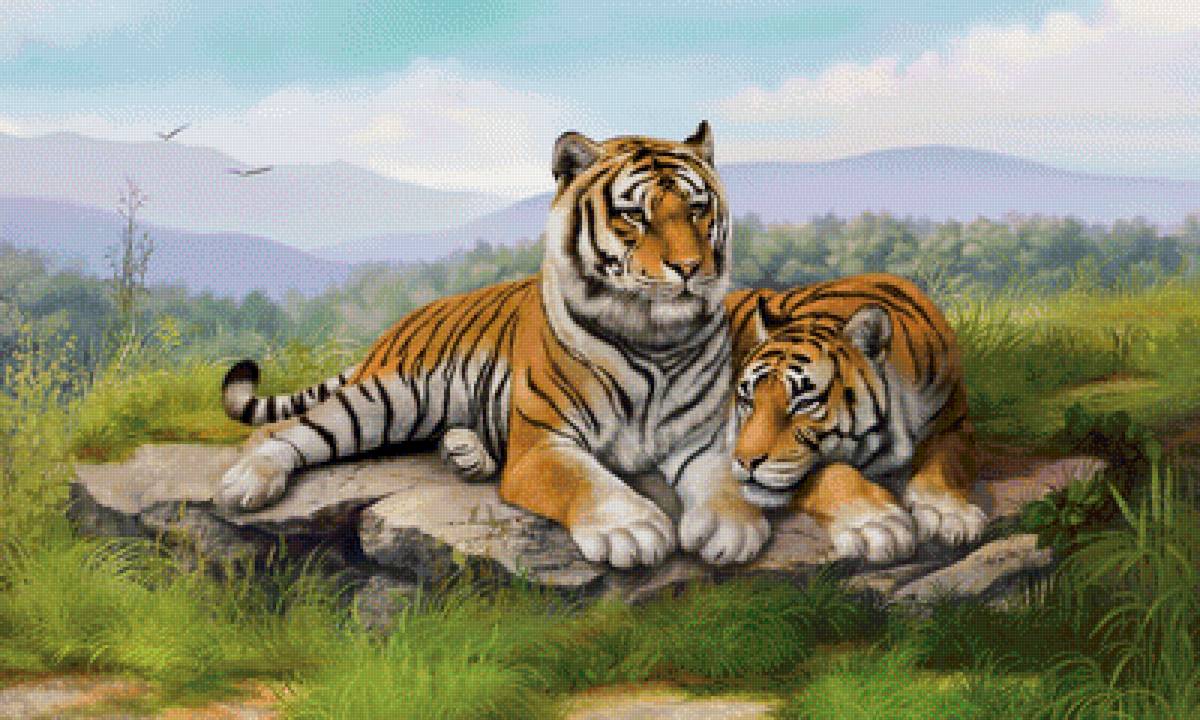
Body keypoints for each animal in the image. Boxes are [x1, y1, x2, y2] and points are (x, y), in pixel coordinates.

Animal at [217, 122, 770, 569]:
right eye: (635, 215)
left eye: (697, 209)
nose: (690, 268)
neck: (656, 341)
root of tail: (399, 324)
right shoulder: (544, 444)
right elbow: (586, 480)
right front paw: (630, 529)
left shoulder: (703, 437)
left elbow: (726, 478)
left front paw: (732, 528)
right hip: (385, 398)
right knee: (288, 429)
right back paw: (245, 482)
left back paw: (466, 451)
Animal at [725, 273, 985, 563]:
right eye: (747, 399)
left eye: (804, 403)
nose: (744, 461)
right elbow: (832, 471)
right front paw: (878, 524)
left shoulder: (954, 426)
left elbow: (945, 465)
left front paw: (947, 515)